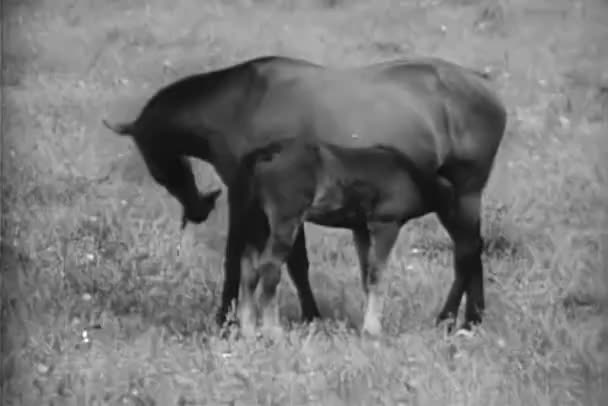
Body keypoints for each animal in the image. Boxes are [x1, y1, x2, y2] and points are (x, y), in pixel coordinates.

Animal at [229, 136, 452, 336]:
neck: (413, 175)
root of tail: (264, 153)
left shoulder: (360, 229)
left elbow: (366, 275)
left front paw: (366, 324)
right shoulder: (385, 224)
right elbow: (378, 275)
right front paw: (373, 330)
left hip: (257, 222)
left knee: (248, 266)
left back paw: (248, 332)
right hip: (285, 220)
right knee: (269, 265)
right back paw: (273, 332)